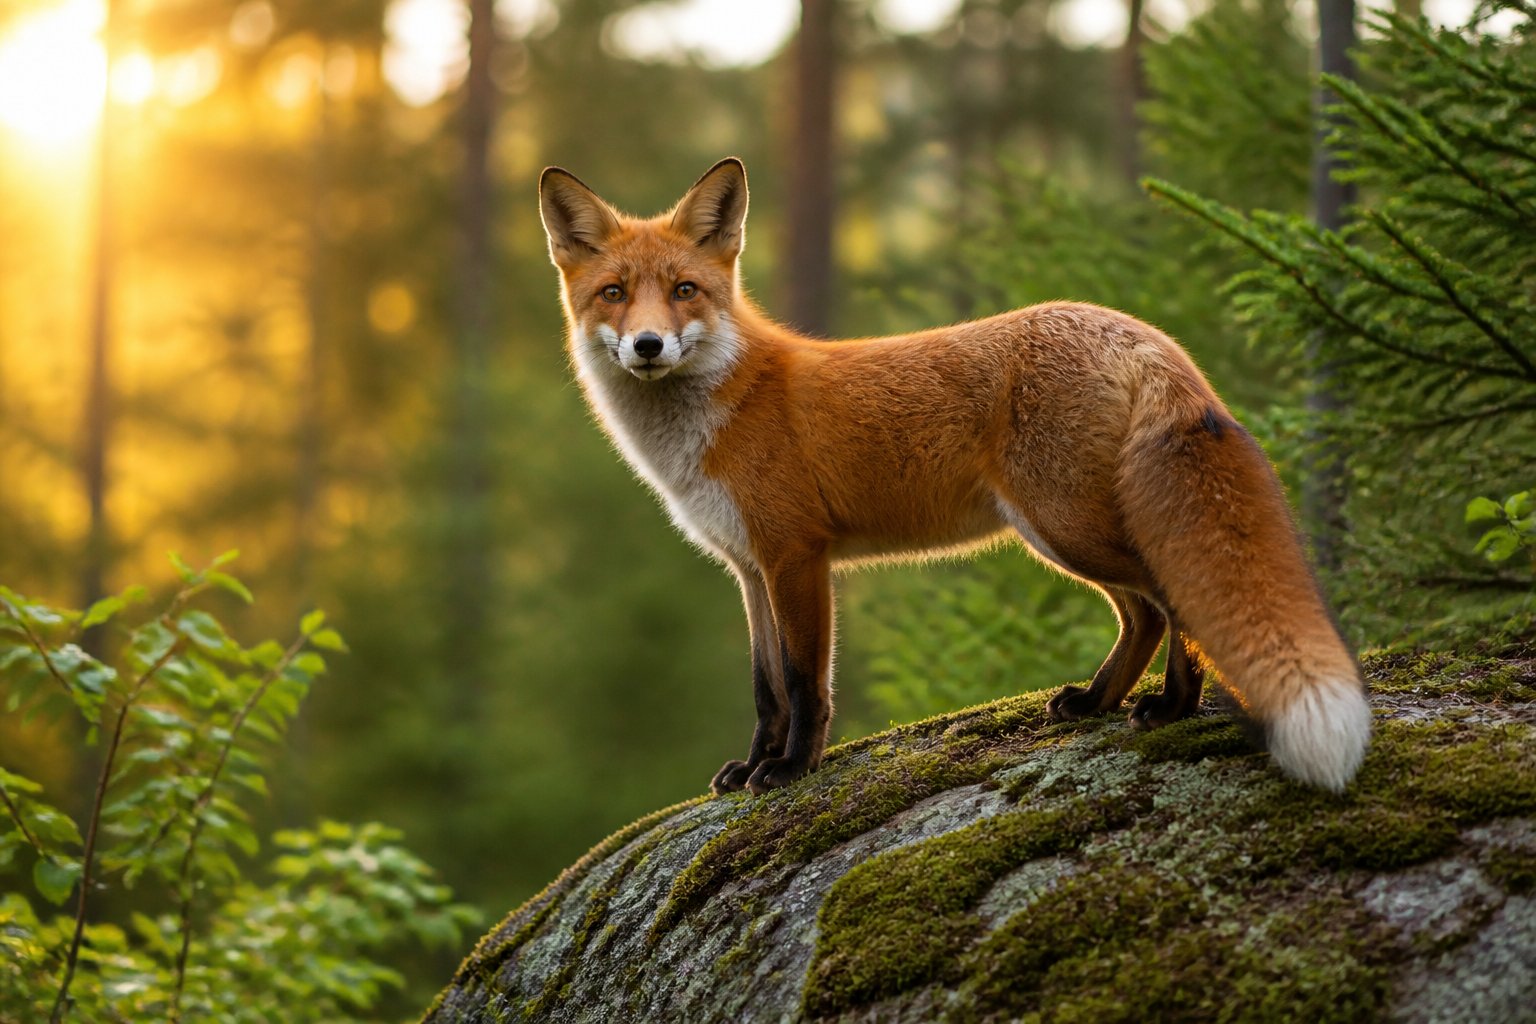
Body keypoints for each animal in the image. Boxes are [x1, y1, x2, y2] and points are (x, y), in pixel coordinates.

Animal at [537, 157, 1372, 796]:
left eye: (685, 291)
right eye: (614, 294)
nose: (647, 345)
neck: (720, 409)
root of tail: (1137, 332)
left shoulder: (797, 556)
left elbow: (805, 684)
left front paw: (793, 770)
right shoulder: (748, 568)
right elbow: (765, 688)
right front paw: (751, 767)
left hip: (1065, 526)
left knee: (1170, 603)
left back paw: (1170, 708)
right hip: (1062, 533)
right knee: (1144, 616)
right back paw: (1097, 701)